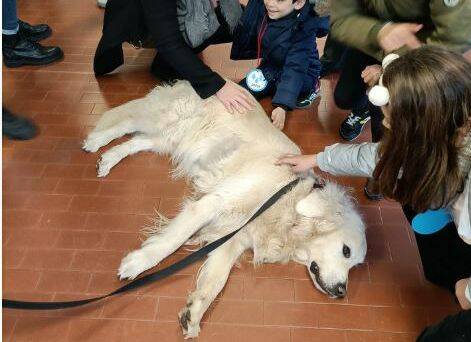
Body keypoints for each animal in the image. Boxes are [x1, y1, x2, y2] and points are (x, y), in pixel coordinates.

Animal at [83, 80, 366, 340]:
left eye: (355, 265)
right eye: (346, 251)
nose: (342, 292)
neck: (286, 200)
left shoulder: (232, 237)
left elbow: (216, 280)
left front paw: (194, 313)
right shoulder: (214, 202)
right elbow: (171, 241)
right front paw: (138, 263)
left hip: (173, 139)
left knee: (138, 140)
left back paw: (108, 159)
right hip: (172, 120)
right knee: (128, 121)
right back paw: (95, 140)